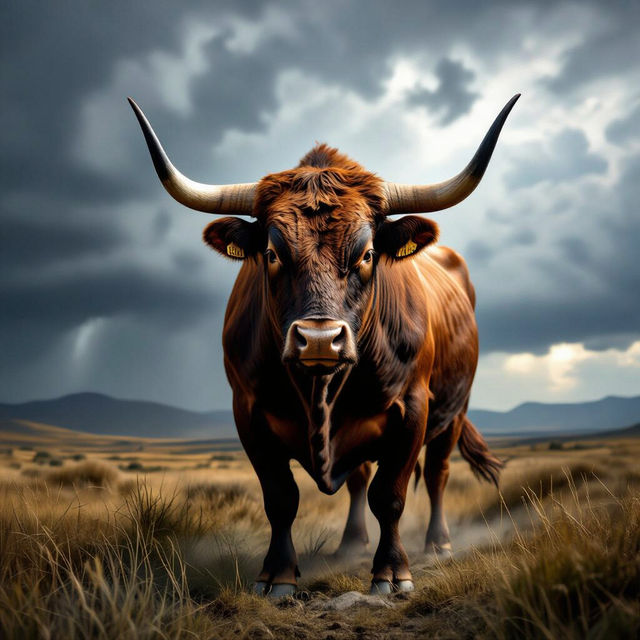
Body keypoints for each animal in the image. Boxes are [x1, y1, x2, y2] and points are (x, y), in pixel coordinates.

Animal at [129, 94, 518, 596]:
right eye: (272, 253)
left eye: (368, 254)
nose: (319, 339)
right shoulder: (247, 411)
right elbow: (281, 497)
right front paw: (277, 575)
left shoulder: (413, 407)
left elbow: (391, 495)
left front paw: (392, 572)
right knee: (359, 478)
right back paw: (351, 544)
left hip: (454, 409)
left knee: (436, 474)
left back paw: (438, 544)